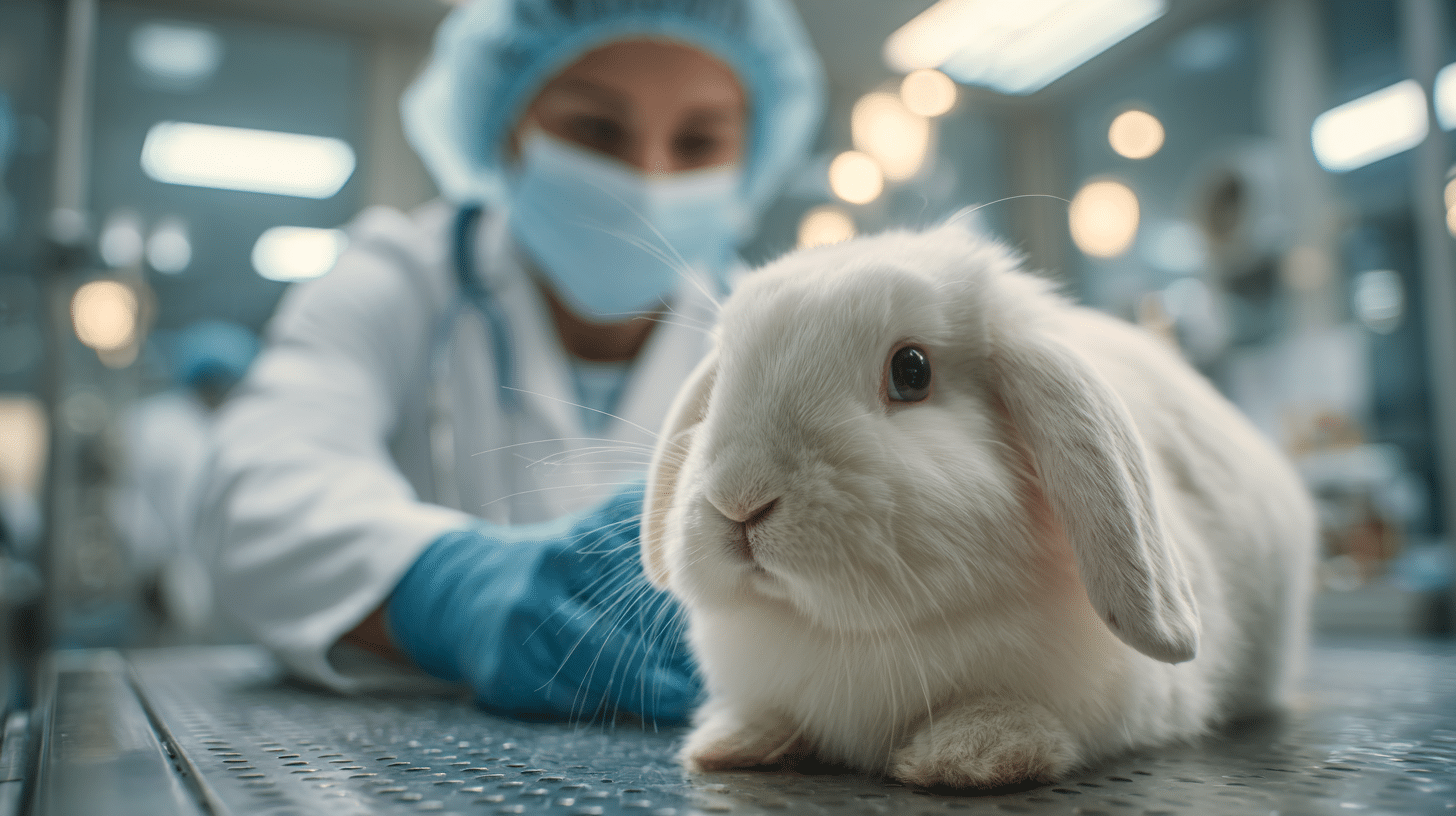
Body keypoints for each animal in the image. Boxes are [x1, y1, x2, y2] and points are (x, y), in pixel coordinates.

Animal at [639, 222, 1316, 789]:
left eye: (912, 371)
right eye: (720, 382)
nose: (739, 499)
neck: (853, 636)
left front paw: (970, 756)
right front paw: (732, 741)